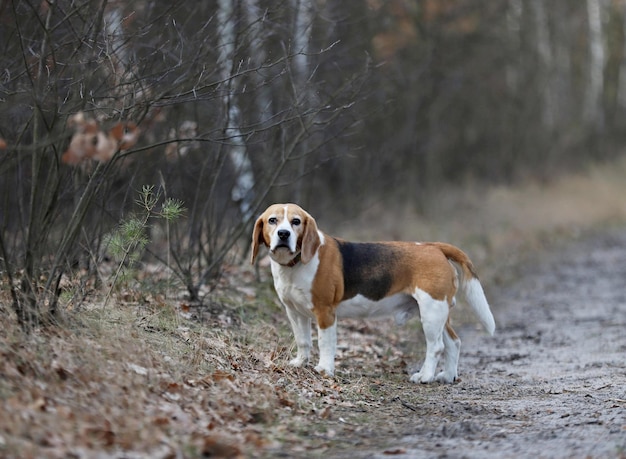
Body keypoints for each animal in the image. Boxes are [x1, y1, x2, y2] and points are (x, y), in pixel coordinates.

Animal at [249, 203, 492, 382]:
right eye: (272, 220)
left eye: (296, 222)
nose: (283, 234)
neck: (295, 264)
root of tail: (435, 247)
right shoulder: (295, 312)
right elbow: (303, 341)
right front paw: (300, 363)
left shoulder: (325, 312)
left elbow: (325, 343)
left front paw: (324, 369)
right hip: (437, 312)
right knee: (454, 342)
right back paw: (448, 376)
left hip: (431, 311)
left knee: (437, 347)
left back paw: (424, 376)